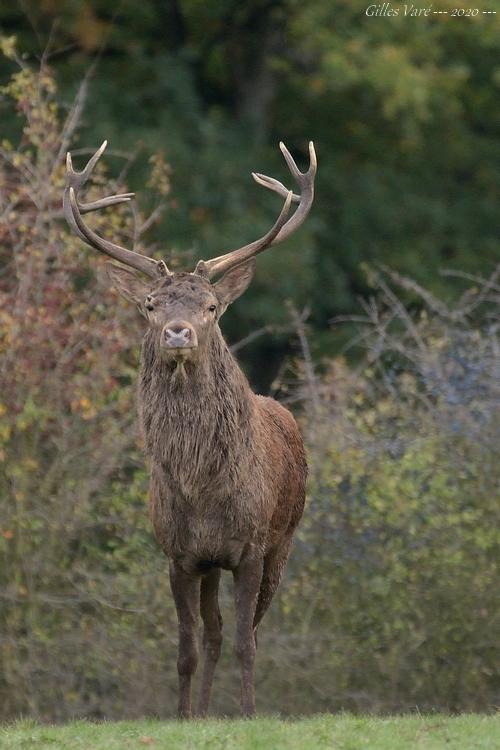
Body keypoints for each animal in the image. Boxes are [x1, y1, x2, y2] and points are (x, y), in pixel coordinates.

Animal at [63, 138, 316, 720]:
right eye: (151, 303)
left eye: (212, 305)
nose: (178, 332)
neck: (202, 488)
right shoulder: (179, 554)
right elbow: (187, 646)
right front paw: (182, 716)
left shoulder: (250, 546)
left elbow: (248, 642)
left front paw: (247, 714)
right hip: (212, 564)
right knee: (214, 632)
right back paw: (201, 712)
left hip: (284, 539)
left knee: (247, 630)